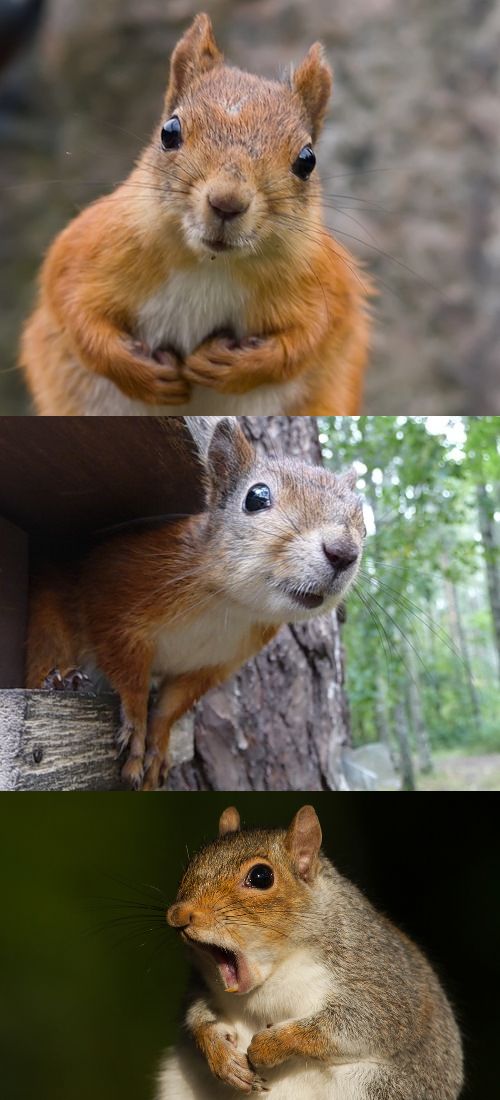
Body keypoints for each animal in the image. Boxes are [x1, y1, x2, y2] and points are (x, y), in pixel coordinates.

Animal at [20, 12, 370, 417]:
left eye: (307, 160)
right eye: (169, 132)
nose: (227, 202)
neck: (209, 264)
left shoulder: (327, 284)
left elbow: (308, 339)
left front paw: (234, 366)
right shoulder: (84, 250)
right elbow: (74, 312)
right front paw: (142, 373)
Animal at [25, 416, 364, 790]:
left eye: (360, 516)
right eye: (256, 497)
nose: (343, 552)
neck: (230, 605)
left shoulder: (211, 664)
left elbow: (173, 706)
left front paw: (157, 745)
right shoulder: (118, 594)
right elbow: (128, 671)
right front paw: (137, 724)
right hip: (47, 621)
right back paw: (59, 680)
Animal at [158, 804, 463, 1100]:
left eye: (261, 876)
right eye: (192, 863)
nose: (178, 915)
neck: (273, 974)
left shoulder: (379, 979)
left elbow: (358, 1024)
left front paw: (270, 1045)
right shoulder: (202, 985)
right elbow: (198, 1016)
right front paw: (221, 1055)